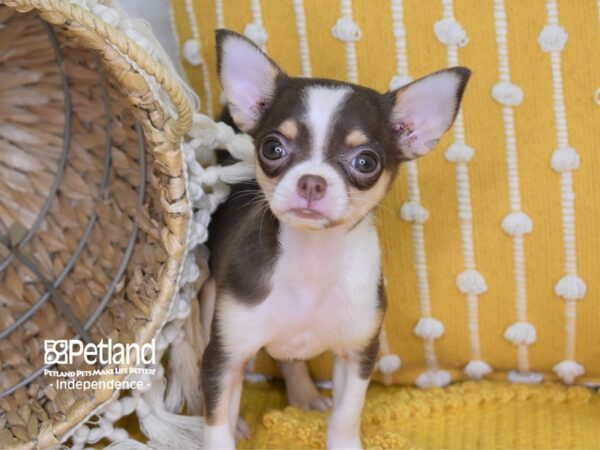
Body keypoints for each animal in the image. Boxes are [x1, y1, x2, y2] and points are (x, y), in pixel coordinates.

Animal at [202, 29, 468, 448]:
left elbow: (347, 413)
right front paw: (227, 427)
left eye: (366, 162)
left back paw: (304, 395)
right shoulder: (222, 356)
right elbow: (216, 422)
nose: (312, 181)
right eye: (273, 148)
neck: (313, 261)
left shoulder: (358, 353)